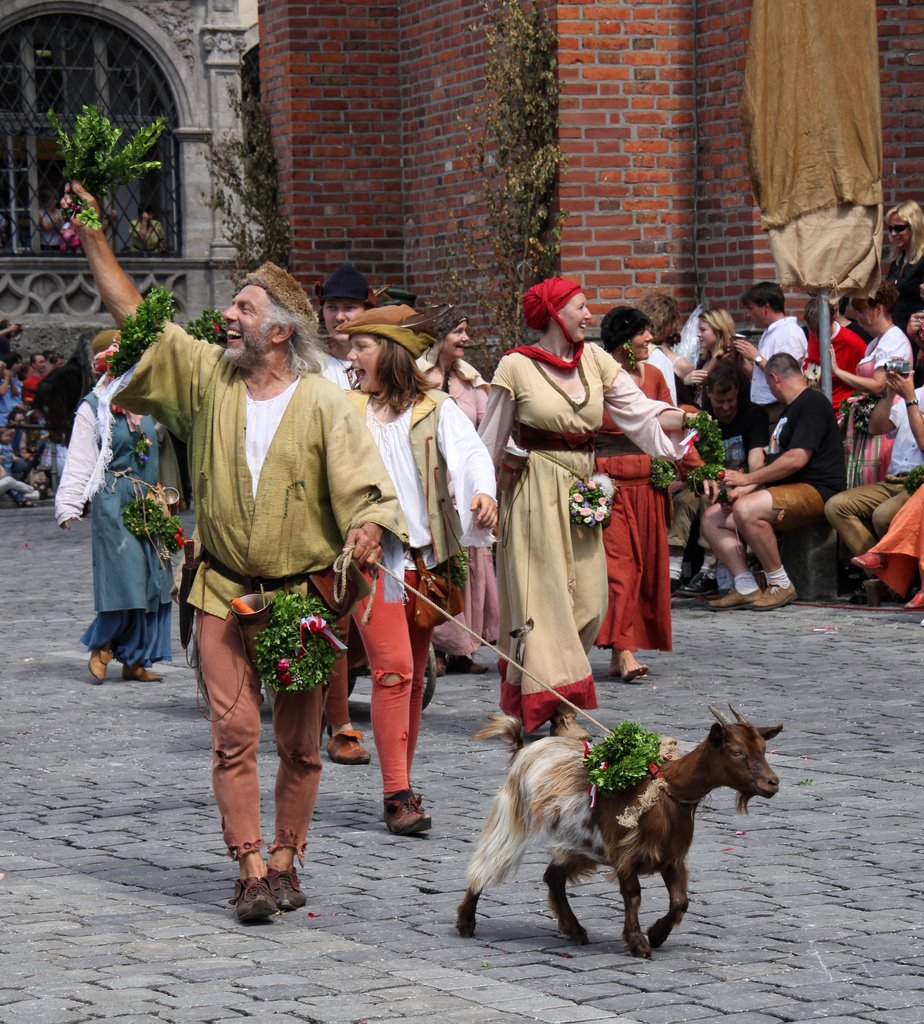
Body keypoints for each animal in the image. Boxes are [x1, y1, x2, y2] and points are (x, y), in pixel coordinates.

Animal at [454, 708, 782, 954]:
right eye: (736, 752)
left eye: (764, 749)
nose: (772, 783)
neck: (663, 788)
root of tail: (524, 750)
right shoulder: (625, 853)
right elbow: (633, 894)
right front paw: (638, 942)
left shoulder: (672, 858)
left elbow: (680, 901)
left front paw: (657, 934)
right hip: (513, 816)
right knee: (487, 863)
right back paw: (466, 922)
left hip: (577, 843)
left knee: (552, 877)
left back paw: (574, 929)